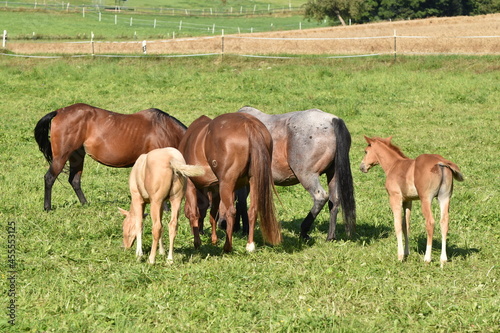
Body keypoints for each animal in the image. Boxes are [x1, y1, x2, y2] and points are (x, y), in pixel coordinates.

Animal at [34, 102, 188, 209]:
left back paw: (85, 204)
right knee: (49, 178)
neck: (165, 129)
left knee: (74, 180)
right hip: (61, 156)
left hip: (76, 156)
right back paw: (47, 208)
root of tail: (58, 112)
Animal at [179, 113, 282, 250]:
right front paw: (213, 240)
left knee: (231, 212)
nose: (198, 230)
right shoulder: (216, 190)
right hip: (254, 181)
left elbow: (193, 213)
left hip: (227, 184)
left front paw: (197, 243)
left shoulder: (191, 185)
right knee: (253, 210)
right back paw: (250, 245)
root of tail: (249, 124)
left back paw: (227, 247)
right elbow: (213, 214)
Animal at [237, 107, 356, 240]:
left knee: (320, 197)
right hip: (333, 175)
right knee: (334, 200)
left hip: (307, 175)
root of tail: (332, 120)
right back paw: (330, 237)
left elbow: (240, 204)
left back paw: (304, 231)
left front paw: (244, 230)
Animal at [360, 135, 464, 264]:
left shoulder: (395, 198)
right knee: (444, 222)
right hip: (444, 198)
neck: (394, 165)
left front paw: (400, 256)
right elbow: (406, 225)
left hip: (426, 199)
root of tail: (441, 162)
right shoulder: (408, 201)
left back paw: (427, 258)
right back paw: (443, 259)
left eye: (366, 151)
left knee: (430, 222)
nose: (362, 166)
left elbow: (397, 225)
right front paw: (406, 252)